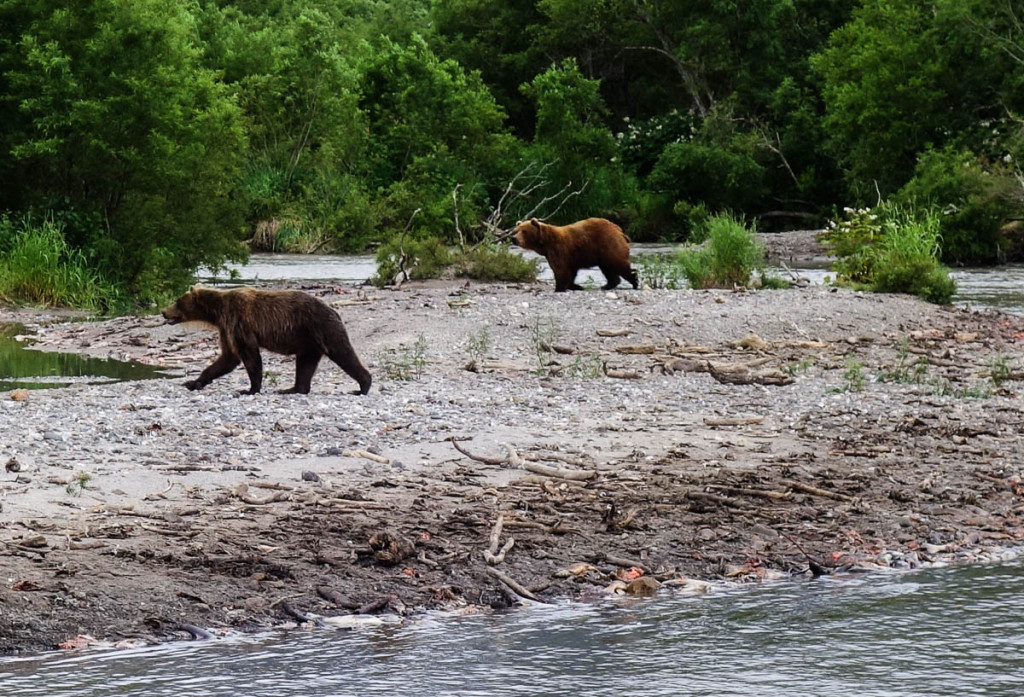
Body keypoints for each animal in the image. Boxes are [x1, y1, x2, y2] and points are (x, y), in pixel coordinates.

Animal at [157, 284, 370, 395]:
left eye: (176, 301)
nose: (163, 311)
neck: (217, 312)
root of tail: (334, 310)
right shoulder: (226, 327)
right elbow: (227, 358)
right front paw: (194, 382)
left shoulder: (239, 320)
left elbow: (249, 355)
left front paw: (250, 389)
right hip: (308, 341)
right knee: (305, 363)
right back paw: (292, 388)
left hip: (322, 328)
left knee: (343, 353)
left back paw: (363, 385)